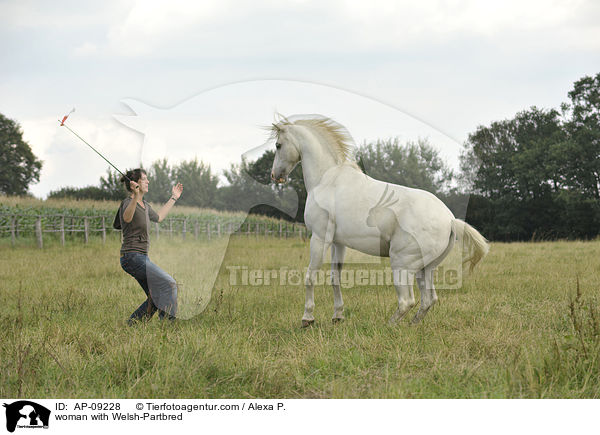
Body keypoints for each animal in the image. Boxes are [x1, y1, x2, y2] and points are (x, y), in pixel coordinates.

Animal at [270, 116, 490, 328]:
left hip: (401, 265)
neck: (327, 179)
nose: (275, 176)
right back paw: (411, 326)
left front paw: (307, 318)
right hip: (425, 269)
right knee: (428, 300)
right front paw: (338, 316)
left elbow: (310, 276)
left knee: (407, 301)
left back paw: (389, 326)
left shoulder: (319, 238)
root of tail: (450, 220)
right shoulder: (338, 243)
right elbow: (335, 277)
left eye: (278, 145)